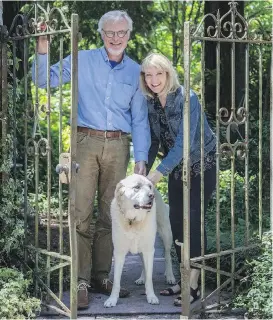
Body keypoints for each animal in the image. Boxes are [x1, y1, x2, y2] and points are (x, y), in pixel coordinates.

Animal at [104, 175, 174, 308]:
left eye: (149, 186)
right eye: (137, 187)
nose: (151, 195)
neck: (133, 221)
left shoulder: (149, 250)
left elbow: (150, 278)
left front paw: (151, 297)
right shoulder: (119, 253)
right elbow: (116, 281)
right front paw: (112, 299)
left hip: (166, 234)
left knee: (168, 256)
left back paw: (170, 276)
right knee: (143, 264)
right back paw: (141, 278)